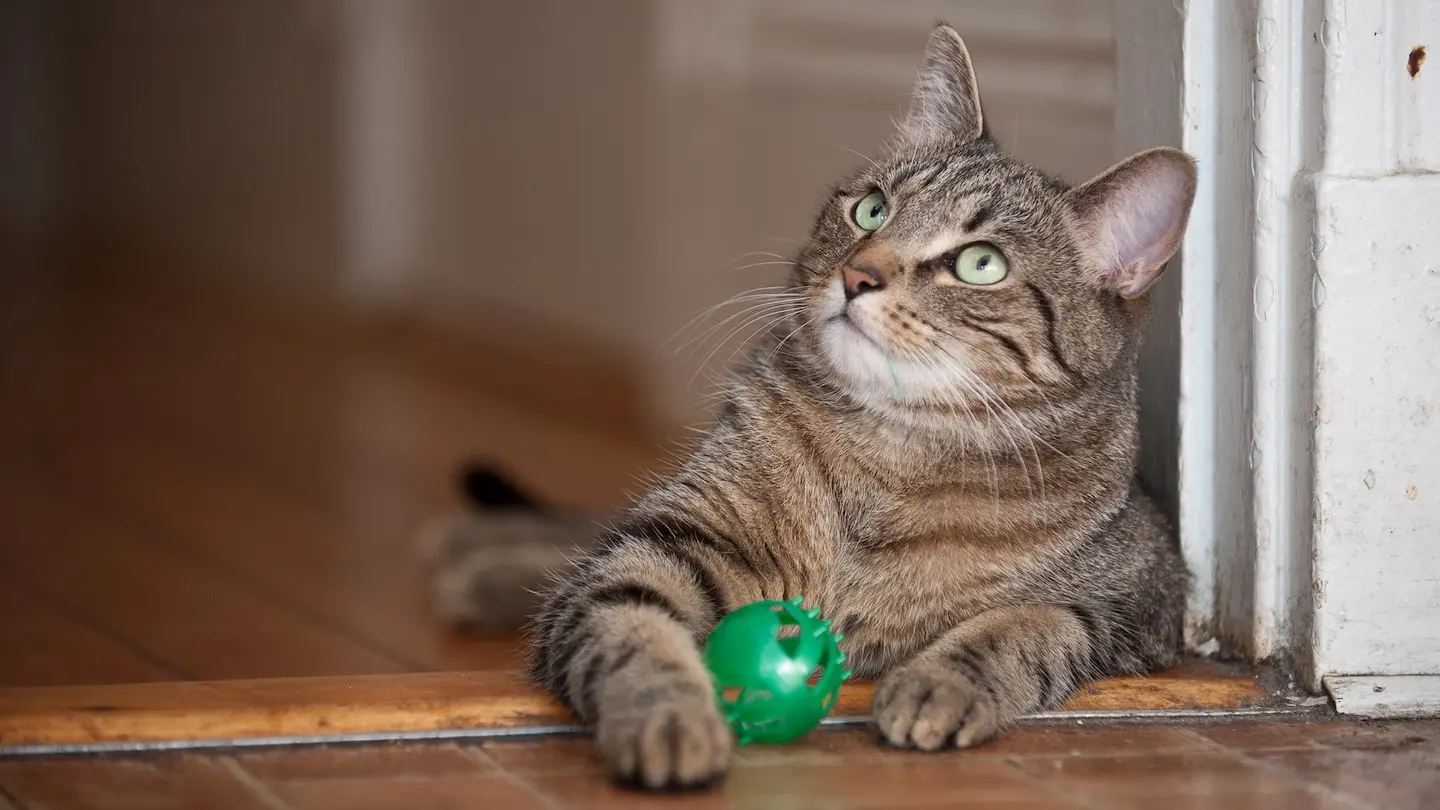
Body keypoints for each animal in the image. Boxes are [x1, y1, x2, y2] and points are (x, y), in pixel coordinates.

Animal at [420, 23, 1198, 789]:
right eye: (871, 209)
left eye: (981, 264)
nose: (858, 275)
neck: (888, 457)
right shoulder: (670, 544)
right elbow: (630, 624)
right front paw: (668, 715)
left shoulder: (1142, 596)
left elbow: (1027, 625)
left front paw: (942, 683)